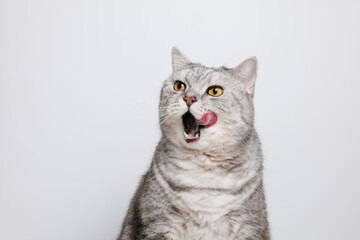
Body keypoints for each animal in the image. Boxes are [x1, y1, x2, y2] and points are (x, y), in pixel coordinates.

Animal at [118, 47, 270, 240]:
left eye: (215, 91)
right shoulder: (159, 224)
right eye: (179, 86)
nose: (189, 98)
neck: (204, 174)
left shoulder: (249, 226)